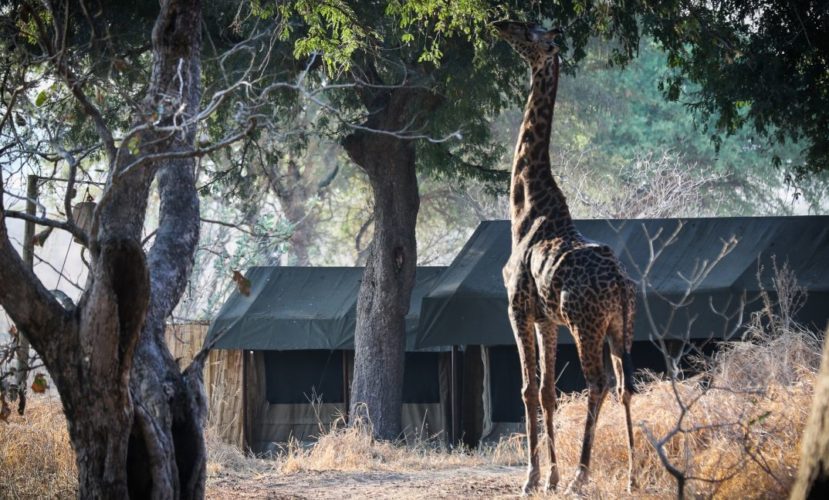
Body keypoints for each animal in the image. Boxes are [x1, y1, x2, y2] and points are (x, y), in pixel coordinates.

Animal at [494, 21, 636, 494]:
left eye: (527, 32)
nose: (498, 23)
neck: (526, 207)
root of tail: (619, 283)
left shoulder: (517, 309)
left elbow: (526, 389)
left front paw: (533, 478)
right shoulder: (545, 320)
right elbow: (547, 392)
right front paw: (549, 477)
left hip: (585, 324)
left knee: (598, 382)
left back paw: (581, 477)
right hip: (621, 326)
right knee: (625, 384)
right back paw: (631, 478)